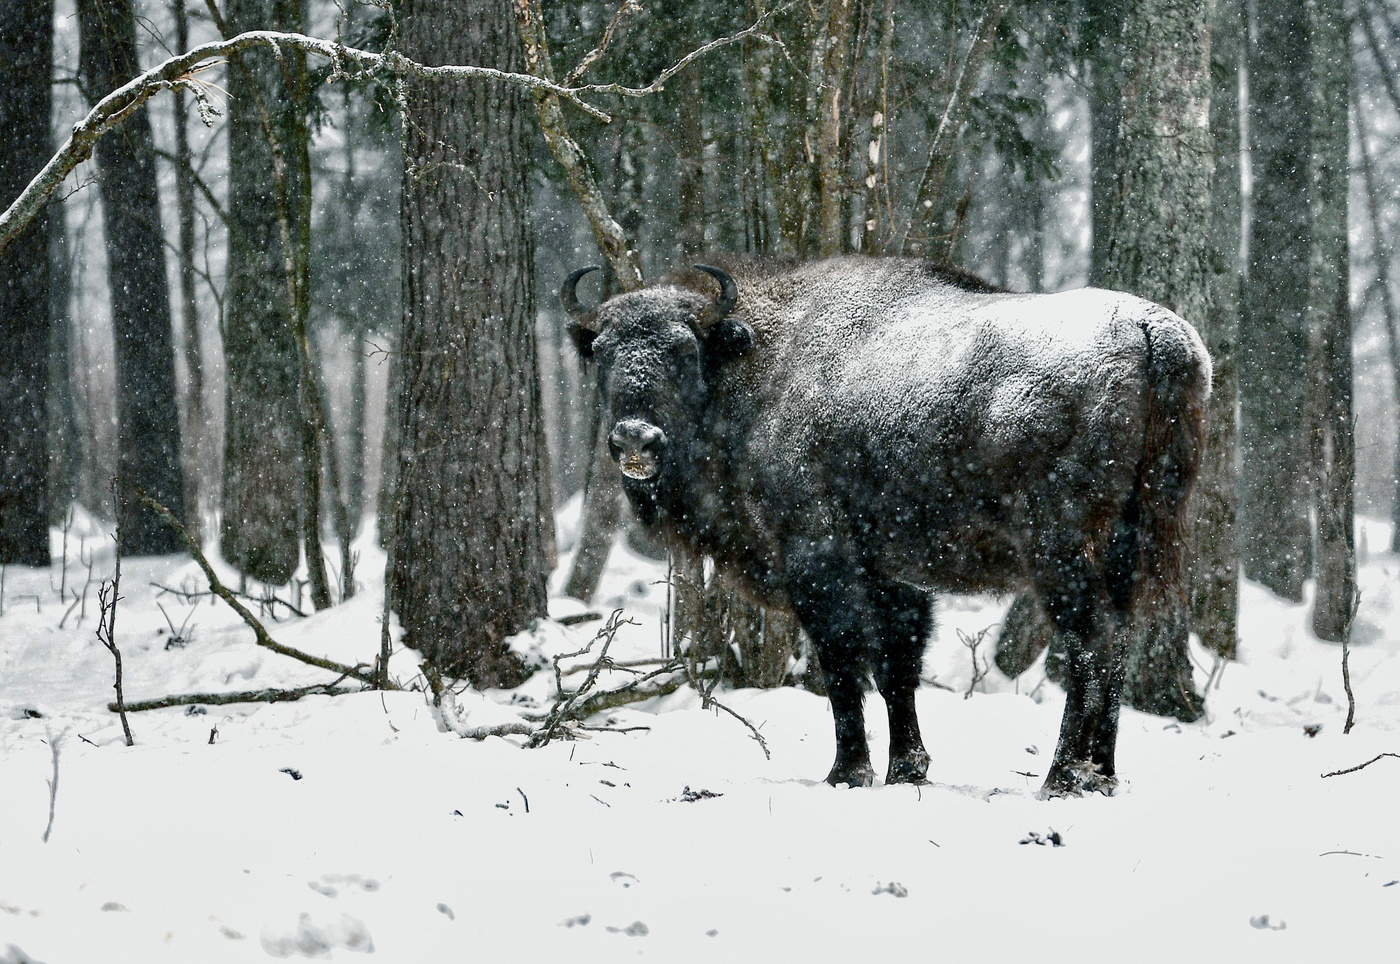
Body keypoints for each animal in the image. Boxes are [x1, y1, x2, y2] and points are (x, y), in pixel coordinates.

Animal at [562, 256, 1209, 794]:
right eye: (605, 353)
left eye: (683, 352)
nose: (635, 440)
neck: (759, 365)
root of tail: (1152, 330)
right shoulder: (893, 574)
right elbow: (898, 664)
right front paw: (907, 768)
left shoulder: (817, 557)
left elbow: (843, 660)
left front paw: (848, 772)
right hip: (1127, 547)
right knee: (1120, 641)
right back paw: (1103, 774)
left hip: (1061, 553)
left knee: (1090, 644)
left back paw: (1062, 777)